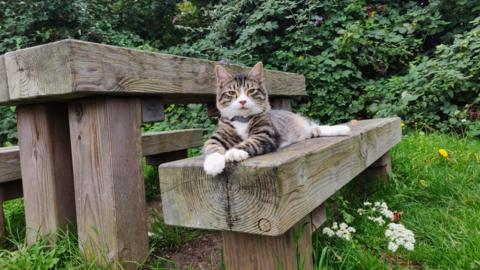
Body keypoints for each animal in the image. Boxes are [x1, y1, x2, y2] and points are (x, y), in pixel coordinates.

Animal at [201, 61, 350, 176]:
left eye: (251, 91)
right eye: (232, 93)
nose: (242, 101)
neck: (242, 119)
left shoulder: (265, 134)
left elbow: (249, 142)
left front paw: (233, 152)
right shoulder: (218, 135)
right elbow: (212, 146)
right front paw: (213, 165)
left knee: (317, 127)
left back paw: (343, 128)